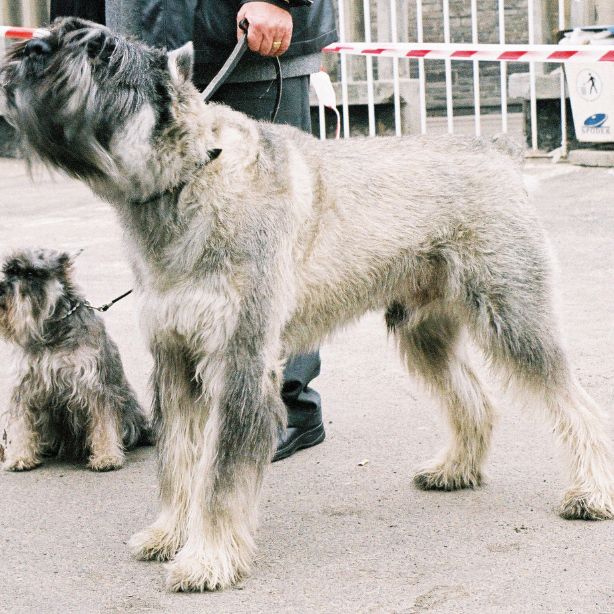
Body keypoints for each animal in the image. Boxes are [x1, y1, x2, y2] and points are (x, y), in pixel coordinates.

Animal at [0, 248, 149, 474]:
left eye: (31, 274)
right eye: (8, 272)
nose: (0, 290)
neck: (51, 330)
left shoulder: (95, 386)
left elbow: (104, 422)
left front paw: (106, 457)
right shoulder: (25, 385)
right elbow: (20, 423)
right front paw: (19, 456)